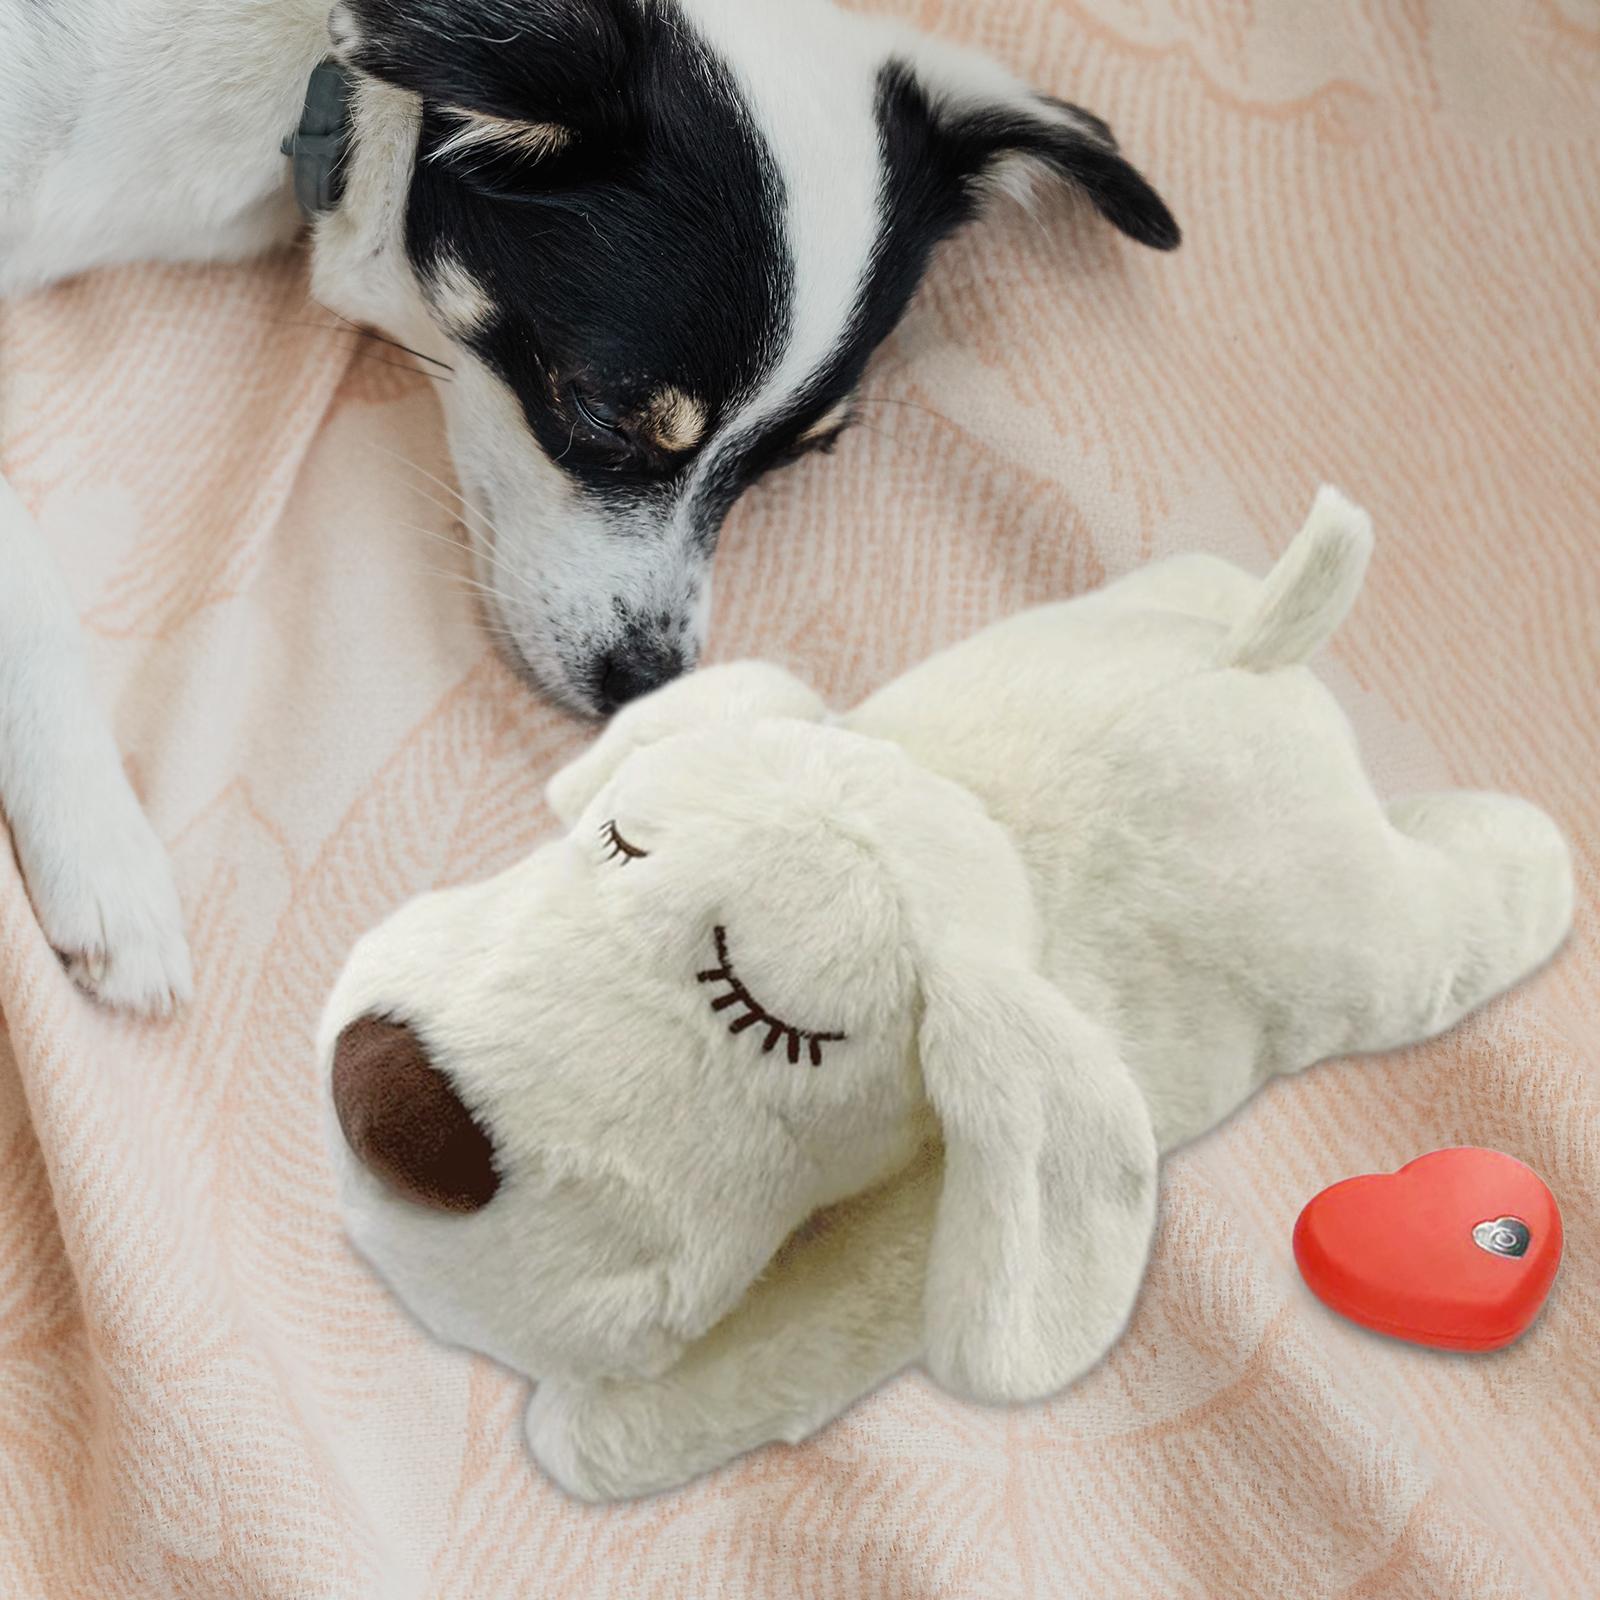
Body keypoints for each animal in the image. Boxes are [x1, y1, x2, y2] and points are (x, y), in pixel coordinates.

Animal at [0, 0, 1178, 1015]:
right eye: (603, 411)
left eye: (795, 463)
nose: (647, 684)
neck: (320, 86)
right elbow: (34, 593)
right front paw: (104, 857)